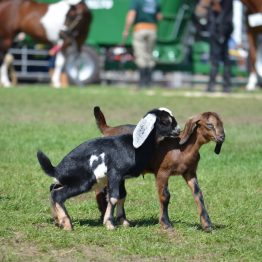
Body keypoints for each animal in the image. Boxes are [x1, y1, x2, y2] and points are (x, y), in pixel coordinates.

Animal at [36, 107, 180, 230]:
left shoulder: (121, 177)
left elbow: (122, 195)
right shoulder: (115, 173)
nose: (178, 130)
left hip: (67, 180)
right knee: (58, 194)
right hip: (85, 181)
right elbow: (113, 197)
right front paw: (109, 223)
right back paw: (67, 224)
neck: (135, 147)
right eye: (165, 121)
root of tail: (57, 169)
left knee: (53, 189)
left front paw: (124, 222)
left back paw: (57, 220)